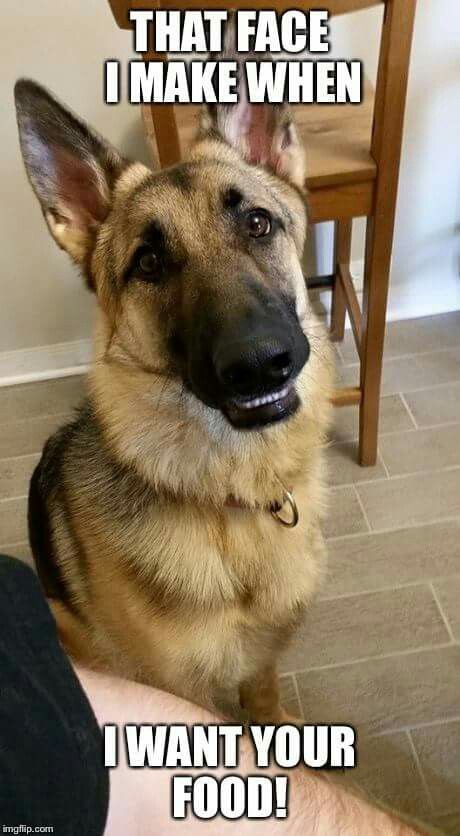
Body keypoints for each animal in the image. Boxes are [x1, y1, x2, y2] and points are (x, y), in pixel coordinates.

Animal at [13, 54, 330, 720]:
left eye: (257, 223)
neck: (231, 497)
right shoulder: (179, 696)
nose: (260, 364)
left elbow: (264, 700)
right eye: (150, 263)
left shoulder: (264, 659)